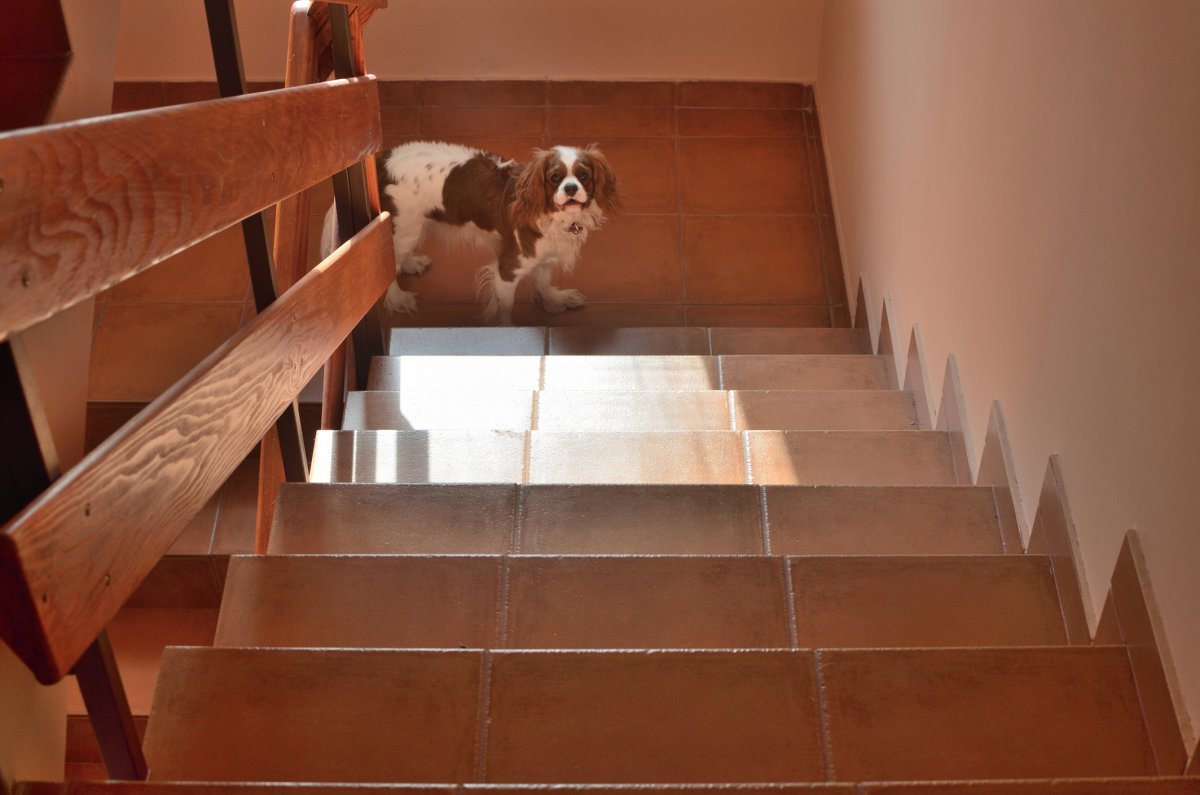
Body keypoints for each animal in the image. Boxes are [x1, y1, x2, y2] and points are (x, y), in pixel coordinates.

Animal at [321, 143, 619, 326]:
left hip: (412, 226)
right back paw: (398, 299)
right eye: (555, 178)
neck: (557, 217)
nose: (570, 188)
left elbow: (543, 281)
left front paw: (554, 300)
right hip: (406, 227)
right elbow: (505, 306)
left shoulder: (545, 255)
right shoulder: (508, 267)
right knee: (388, 266)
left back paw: (412, 263)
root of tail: (382, 161)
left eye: (583, 176)